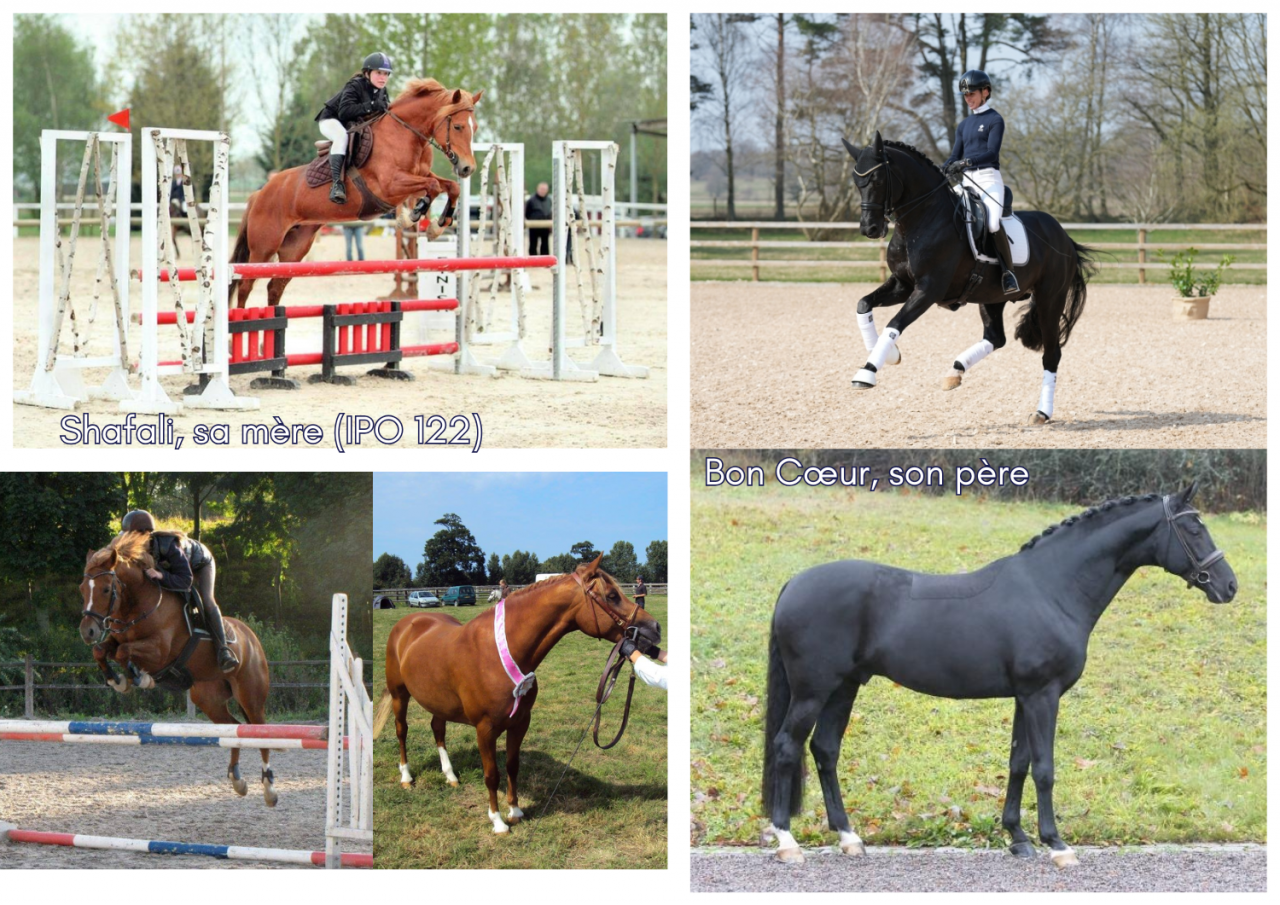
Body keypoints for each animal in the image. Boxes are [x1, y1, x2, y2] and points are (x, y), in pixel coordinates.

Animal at [77, 532, 278, 806]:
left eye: (106, 589)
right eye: (81, 589)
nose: (87, 632)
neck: (139, 603)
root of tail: (252, 639)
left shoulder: (159, 650)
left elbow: (123, 652)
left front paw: (137, 678)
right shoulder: (116, 639)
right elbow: (103, 651)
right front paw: (117, 680)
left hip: (251, 696)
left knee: (260, 733)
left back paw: (269, 788)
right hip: (208, 699)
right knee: (232, 728)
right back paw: (237, 780)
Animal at [229, 77, 483, 309]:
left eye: (475, 127)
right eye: (458, 127)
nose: (467, 168)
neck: (404, 134)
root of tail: (259, 194)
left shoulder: (418, 176)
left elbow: (448, 186)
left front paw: (437, 225)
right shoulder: (391, 185)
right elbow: (433, 186)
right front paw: (413, 215)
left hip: (295, 248)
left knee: (275, 286)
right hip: (264, 247)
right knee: (245, 285)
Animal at [373, 554, 661, 834]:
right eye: (612, 595)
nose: (655, 628)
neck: (498, 652)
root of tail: (407, 624)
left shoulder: (520, 722)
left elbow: (512, 766)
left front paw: (515, 811)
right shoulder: (485, 729)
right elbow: (492, 774)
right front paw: (498, 821)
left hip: (439, 702)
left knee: (437, 729)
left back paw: (451, 776)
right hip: (400, 695)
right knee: (402, 731)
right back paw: (406, 777)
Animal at [762, 483, 1236, 866]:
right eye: (1194, 529)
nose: (1228, 586)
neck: (1051, 588)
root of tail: (792, 583)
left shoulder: (1026, 696)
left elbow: (1018, 763)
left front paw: (1018, 838)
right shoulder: (1043, 695)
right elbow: (1044, 767)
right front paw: (1057, 845)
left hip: (843, 687)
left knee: (825, 750)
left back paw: (849, 838)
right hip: (812, 690)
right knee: (787, 746)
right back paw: (788, 842)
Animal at [841, 132, 1097, 424]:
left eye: (877, 179)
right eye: (856, 181)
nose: (870, 229)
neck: (922, 220)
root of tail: (1064, 236)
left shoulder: (928, 290)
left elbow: (895, 323)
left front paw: (867, 372)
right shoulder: (902, 285)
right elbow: (863, 304)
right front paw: (889, 354)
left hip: (1049, 299)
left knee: (1051, 353)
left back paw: (1042, 412)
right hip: (992, 297)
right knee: (996, 338)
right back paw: (955, 371)